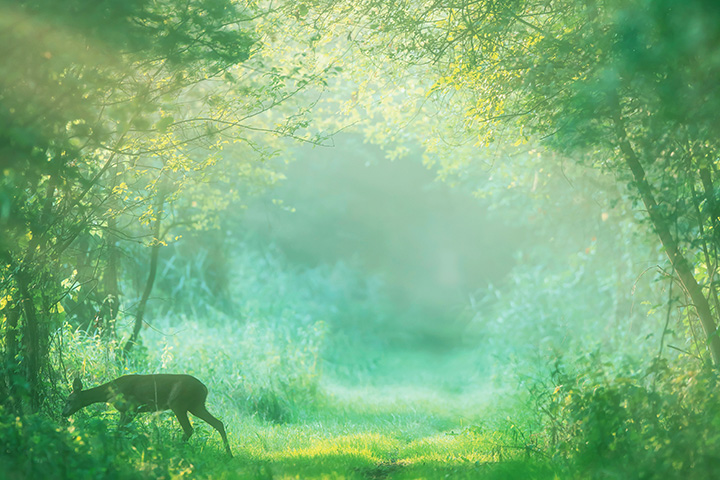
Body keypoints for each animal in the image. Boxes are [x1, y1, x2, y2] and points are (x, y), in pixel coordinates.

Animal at [62, 374, 232, 456]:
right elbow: (119, 430)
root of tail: (204, 388)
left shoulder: (131, 407)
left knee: (189, 429)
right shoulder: (126, 411)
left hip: (178, 403)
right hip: (196, 405)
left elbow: (120, 430)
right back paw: (229, 454)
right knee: (218, 423)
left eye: (69, 400)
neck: (109, 393)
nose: (63, 413)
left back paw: (173, 449)